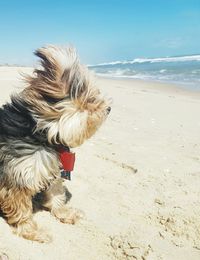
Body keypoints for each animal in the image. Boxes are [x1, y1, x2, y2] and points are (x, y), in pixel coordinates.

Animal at [0, 45, 111, 243]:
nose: (109, 108)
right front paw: (32, 231)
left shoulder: (53, 168)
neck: (41, 133)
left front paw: (64, 213)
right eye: (91, 100)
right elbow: (21, 209)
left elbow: (56, 193)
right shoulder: (17, 177)